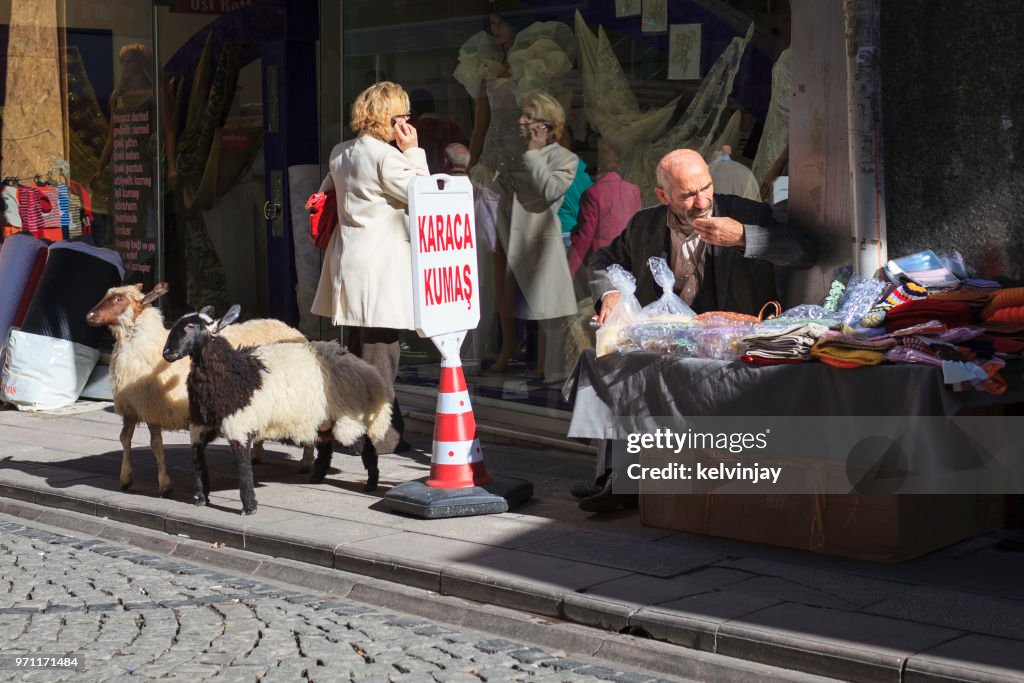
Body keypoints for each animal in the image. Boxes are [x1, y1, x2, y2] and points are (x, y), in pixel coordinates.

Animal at [84, 280, 311, 499]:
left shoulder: (152, 408)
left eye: (118, 299)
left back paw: (306, 464)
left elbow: (156, 444)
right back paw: (258, 454)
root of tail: (291, 329)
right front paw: (125, 479)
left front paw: (165, 486)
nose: (89, 316)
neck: (145, 346)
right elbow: (125, 438)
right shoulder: (132, 408)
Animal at [161, 301, 389, 516]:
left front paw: (249, 507)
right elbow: (198, 463)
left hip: (349, 415)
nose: (167, 353)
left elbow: (243, 468)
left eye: (190, 326)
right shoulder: (199, 426)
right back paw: (317, 476)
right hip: (323, 418)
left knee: (365, 445)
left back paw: (371, 483)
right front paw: (201, 498)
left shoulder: (239, 425)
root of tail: (362, 366)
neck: (232, 372)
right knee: (326, 445)